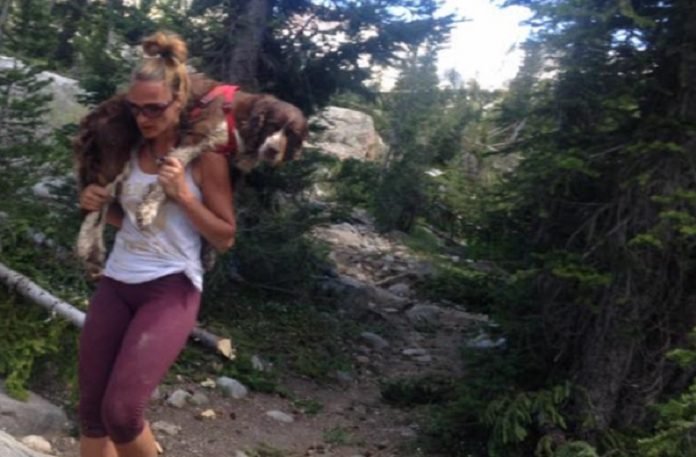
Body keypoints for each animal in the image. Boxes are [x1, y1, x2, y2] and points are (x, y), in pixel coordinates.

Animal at [74, 73, 308, 279]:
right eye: (272, 125)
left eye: (292, 135)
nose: (272, 150)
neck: (241, 120)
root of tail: (95, 114)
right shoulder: (198, 135)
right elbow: (167, 177)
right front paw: (147, 211)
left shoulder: (230, 169)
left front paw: (208, 254)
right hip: (114, 155)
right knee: (95, 206)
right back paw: (86, 247)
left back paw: (95, 255)